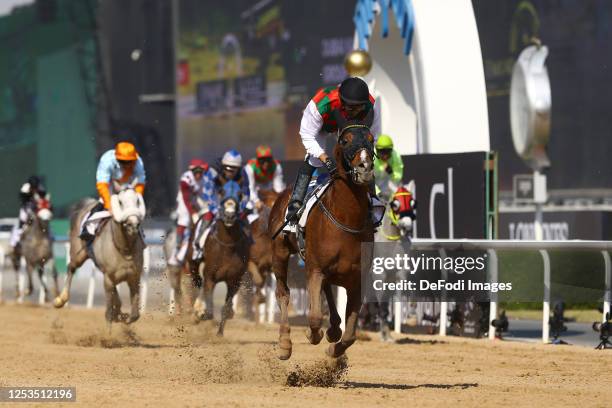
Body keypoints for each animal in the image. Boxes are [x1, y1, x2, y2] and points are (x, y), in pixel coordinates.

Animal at [192, 181, 247, 334]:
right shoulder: (210, 277)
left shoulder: (234, 281)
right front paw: (202, 313)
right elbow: (210, 310)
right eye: (221, 192)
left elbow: (226, 309)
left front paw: (220, 333)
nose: (229, 216)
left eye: (240, 194)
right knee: (198, 283)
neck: (227, 246)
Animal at [268, 113, 376, 358]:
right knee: (283, 293)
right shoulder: (315, 269)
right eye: (345, 141)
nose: (365, 168)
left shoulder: (357, 278)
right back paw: (285, 343)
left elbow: (351, 334)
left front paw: (334, 351)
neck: (346, 219)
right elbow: (315, 317)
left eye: (371, 140)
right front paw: (312, 334)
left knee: (327, 291)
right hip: (279, 252)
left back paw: (334, 328)